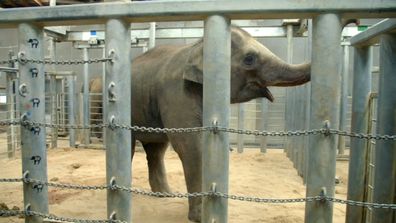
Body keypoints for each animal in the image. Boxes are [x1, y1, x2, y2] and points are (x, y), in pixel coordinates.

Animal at [88, 27, 310, 222]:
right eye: (249, 58)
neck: (197, 46)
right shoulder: (176, 92)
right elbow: (192, 146)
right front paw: (202, 217)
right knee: (129, 147)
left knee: (156, 150)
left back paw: (166, 195)